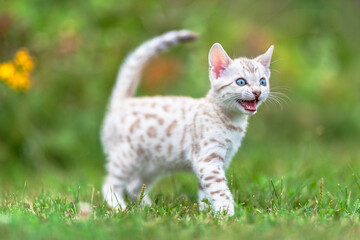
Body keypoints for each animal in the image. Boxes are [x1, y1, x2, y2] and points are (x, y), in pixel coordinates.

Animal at [101, 29, 272, 216]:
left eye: (262, 81)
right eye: (241, 82)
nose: (257, 92)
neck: (232, 123)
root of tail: (121, 102)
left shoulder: (218, 160)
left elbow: (205, 191)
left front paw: (206, 213)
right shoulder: (208, 160)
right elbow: (220, 190)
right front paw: (226, 214)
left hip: (153, 163)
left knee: (134, 185)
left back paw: (148, 208)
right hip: (127, 156)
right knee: (110, 183)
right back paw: (119, 207)